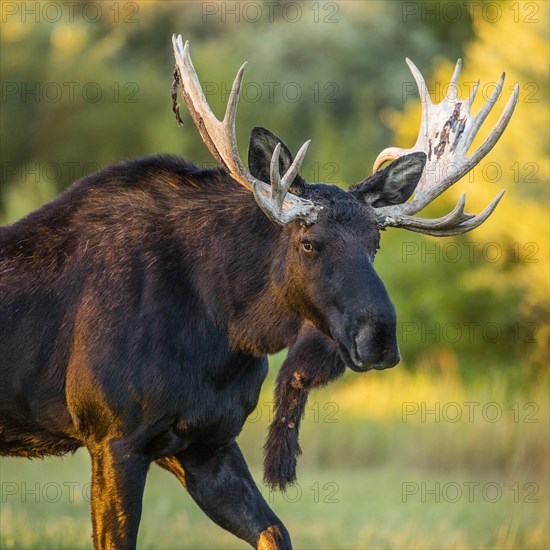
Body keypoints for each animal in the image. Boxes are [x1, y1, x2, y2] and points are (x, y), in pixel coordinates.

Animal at [0, 35, 520, 550]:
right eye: (309, 242)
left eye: (375, 243)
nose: (379, 339)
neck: (227, 331)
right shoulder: (113, 438)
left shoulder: (206, 442)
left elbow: (274, 531)